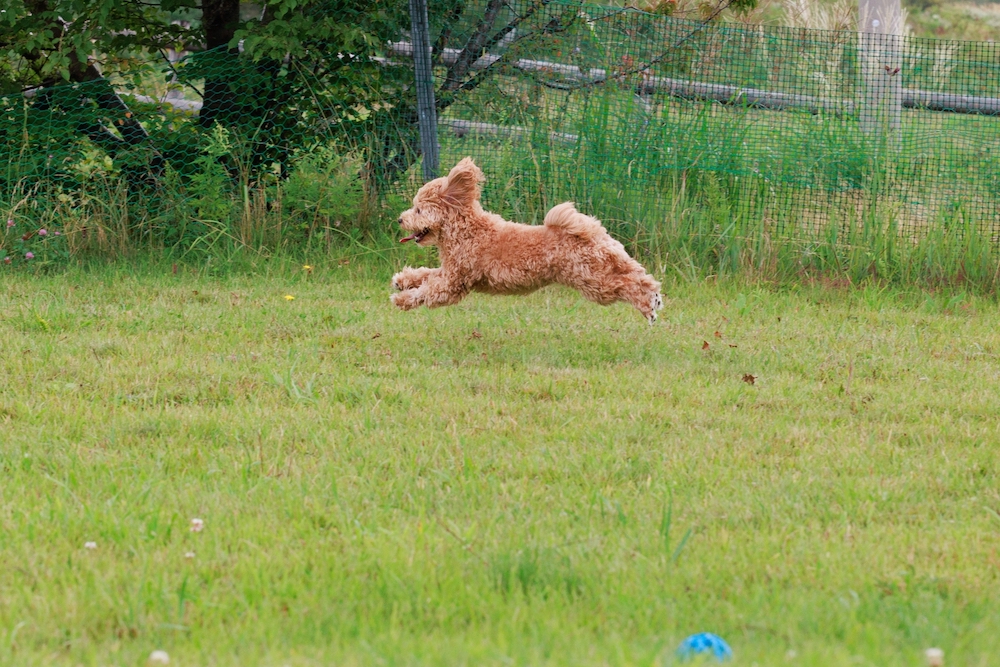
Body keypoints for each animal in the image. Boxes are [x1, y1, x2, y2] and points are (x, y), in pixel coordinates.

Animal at [390, 157, 664, 324]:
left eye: (418, 210)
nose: (400, 219)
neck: (466, 230)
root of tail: (590, 231)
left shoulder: (453, 283)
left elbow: (427, 291)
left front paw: (401, 299)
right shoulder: (448, 271)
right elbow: (425, 274)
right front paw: (402, 280)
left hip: (594, 280)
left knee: (629, 284)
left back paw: (648, 305)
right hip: (604, 265)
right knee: (638, 274)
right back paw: (654, 299)